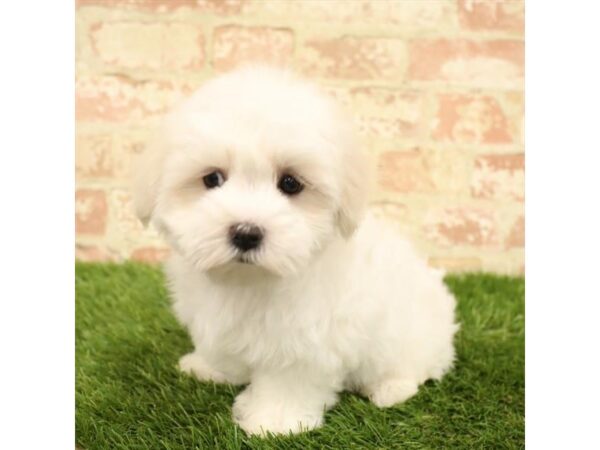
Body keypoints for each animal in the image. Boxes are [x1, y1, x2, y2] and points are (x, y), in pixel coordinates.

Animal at [134, 65, 458, 434]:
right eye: (212, 179)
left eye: (290, 183)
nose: (246, 233)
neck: (249, 281)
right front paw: (210, 368)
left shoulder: (307, 338)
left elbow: (288, 379)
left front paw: (273, 421)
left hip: (410, 338)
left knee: (415, 368)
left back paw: (389, 389)